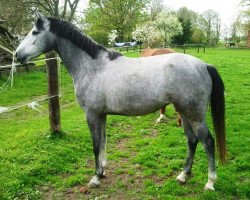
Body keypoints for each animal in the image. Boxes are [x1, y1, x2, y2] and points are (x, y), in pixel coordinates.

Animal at [16, 12, 227, 191]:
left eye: (35, 32)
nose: (17, 55)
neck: (93, 67)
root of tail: (203, 65)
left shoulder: (92, 115)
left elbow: (95, 144)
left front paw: (95, 177)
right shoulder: (101, 115)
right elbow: (102, 143)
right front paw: (101, 172)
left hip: (195, 115)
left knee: (207, 141)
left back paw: (210, 182)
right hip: (183, 112)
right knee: (192, 141)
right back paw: (183, 175)